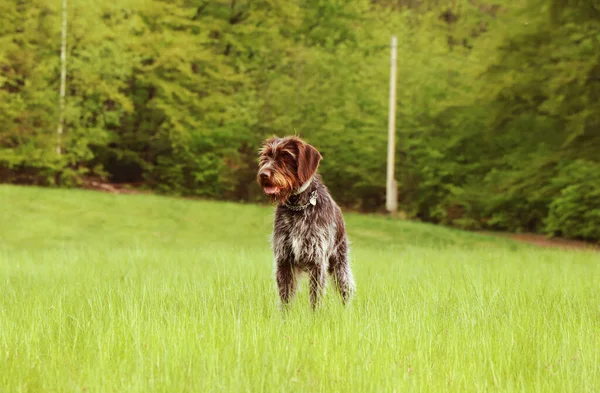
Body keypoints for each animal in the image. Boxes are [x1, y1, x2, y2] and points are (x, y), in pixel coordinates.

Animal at [255, 136, 354, 308]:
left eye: (285, 156)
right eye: (265, 157)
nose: (263, 174)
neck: (298, 207)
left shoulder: (317, 261)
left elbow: (315, 300)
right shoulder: (284, 260)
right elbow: (285, 299)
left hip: (339, 265)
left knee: (346, 289)